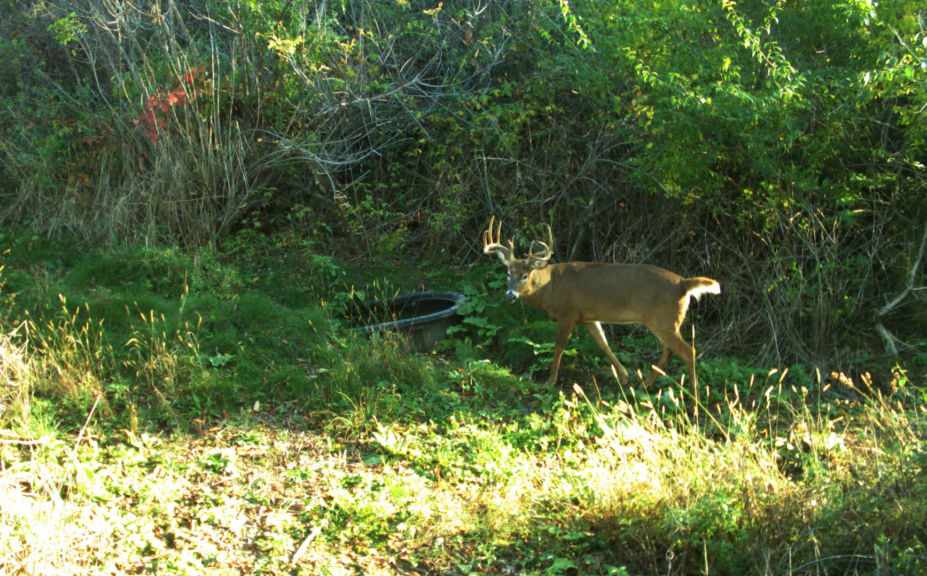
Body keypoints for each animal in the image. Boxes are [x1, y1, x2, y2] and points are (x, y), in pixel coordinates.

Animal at [482, 218, 720, 390]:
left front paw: (550, 381)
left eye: (524, 275)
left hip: (664, 319)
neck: (550, 287)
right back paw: (646, 383)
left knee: (688, 351)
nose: (510, 295)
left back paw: (694, 393)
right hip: (665, 321)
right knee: (670, 349)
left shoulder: (568, 313)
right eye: (508, 273)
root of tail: (682, 284)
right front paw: (624, 376)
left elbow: (559, 346)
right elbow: (603, 343)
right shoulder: (588, 316)